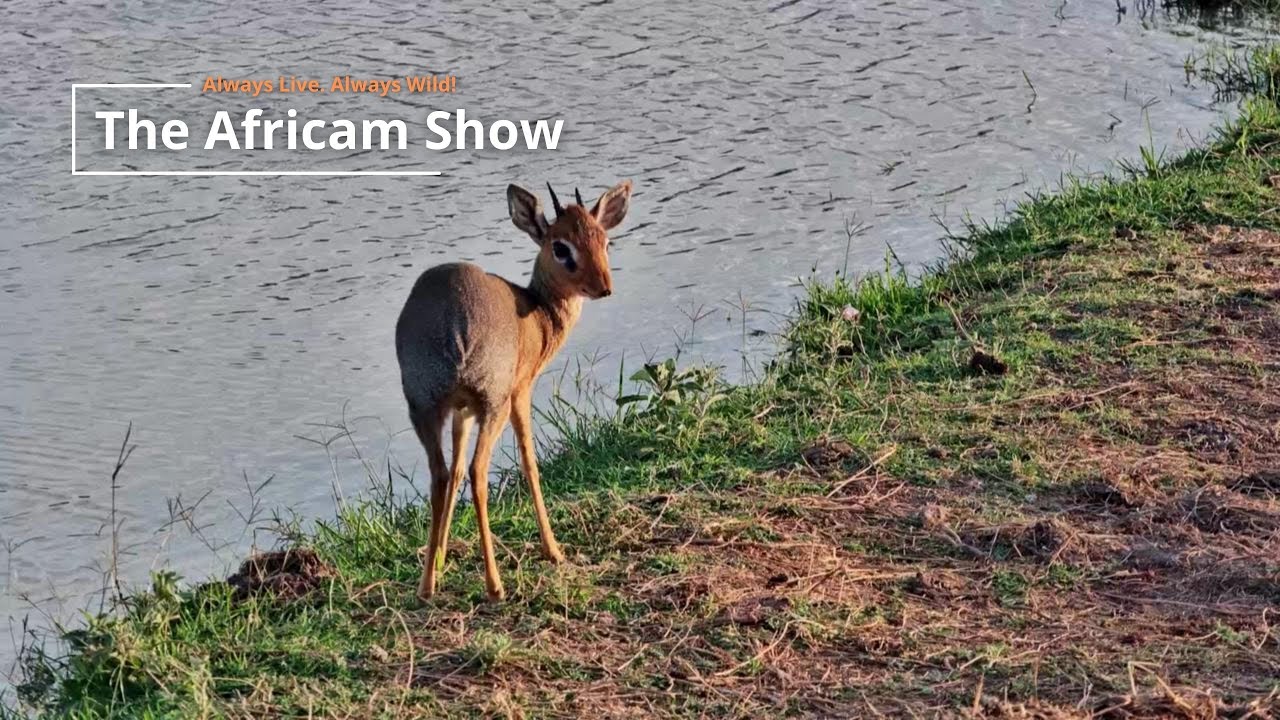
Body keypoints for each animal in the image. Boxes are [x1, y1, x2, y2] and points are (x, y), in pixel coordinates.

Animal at [396, 179, 633, 601]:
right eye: (560, 246)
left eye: (604, 240)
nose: (603, 288)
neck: (536, 315)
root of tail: (455, 322)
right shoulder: (522, 392)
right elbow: (529, 462)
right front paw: (553, 550)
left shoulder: (460, 411)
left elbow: (455, 470)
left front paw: (440, 557)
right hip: (495, 406)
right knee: (479, 472)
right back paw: (495, 585)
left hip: (425, 407)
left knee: (442, 474)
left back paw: (427, 586)